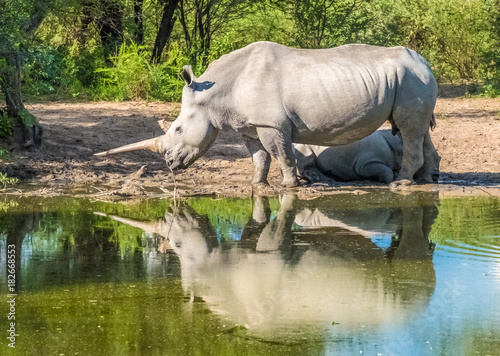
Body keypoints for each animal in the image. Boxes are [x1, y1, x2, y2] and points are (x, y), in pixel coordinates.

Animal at [294, 129, 440, 184]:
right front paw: (379, 179)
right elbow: (386, 172)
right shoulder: (365, 164)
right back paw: (330, 181)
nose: (436, 176)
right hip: (301, 145)